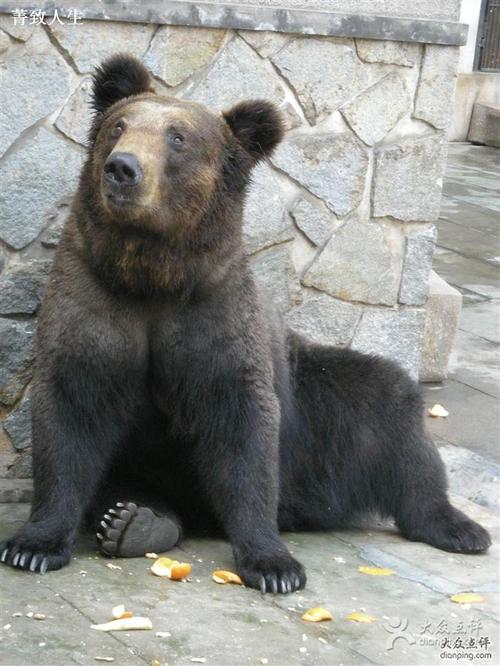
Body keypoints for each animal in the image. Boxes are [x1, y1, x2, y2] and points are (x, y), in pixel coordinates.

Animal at [0, 54, 491, 593]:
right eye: (119, 126)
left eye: (178, 137)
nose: (122, 168)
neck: (153, 274)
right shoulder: (96, 296)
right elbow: (71, 408)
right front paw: (34, 545)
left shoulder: (213, 312)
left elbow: (243, 422)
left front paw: (274, 565)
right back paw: (133, 520)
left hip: (317, 405)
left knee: (390, 404)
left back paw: (458, 527)